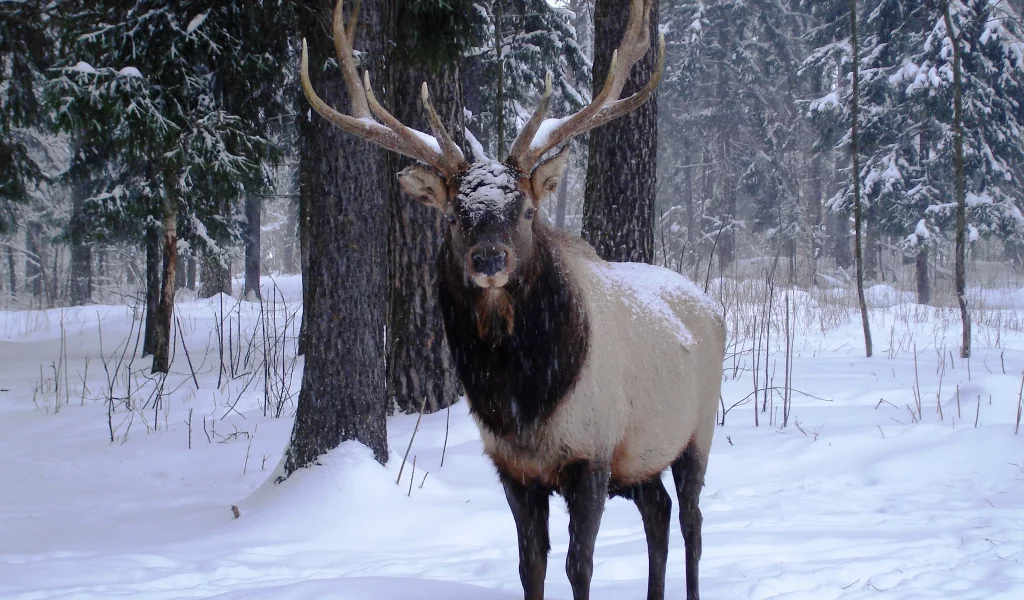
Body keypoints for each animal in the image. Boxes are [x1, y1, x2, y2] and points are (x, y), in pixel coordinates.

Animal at [299, 1, 724, 597]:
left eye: (524, 210)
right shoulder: (514, 469)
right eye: (455, 215)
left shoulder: (591, 452)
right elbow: (530, 564)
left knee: (691, 521)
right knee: (657, 511)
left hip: (697, 428)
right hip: (642, 454)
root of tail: (713, 307)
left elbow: (578, 566)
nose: (489, 259)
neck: (523, 403)